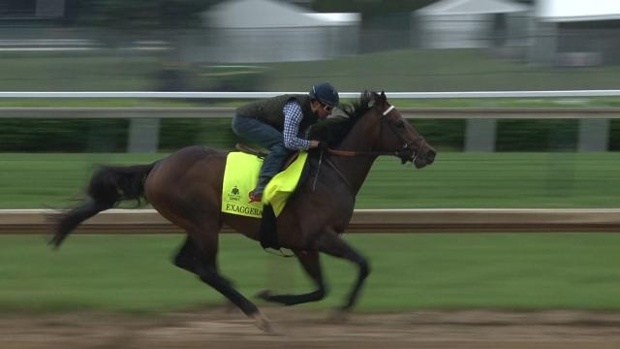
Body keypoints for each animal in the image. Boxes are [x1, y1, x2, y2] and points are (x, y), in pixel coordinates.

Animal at [49, 90, 436, 332]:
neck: (330, 172)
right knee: (205, 268)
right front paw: (337, 311)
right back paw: (254, 313)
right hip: (204, 221)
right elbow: (361, 265)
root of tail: (158, 164)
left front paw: (276, 295)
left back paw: (245, 302)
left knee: (187, 262)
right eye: (399, 123)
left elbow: (321, 288)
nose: (429, 153)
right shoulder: (317, 236)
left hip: (196, 223)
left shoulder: (304, 245)